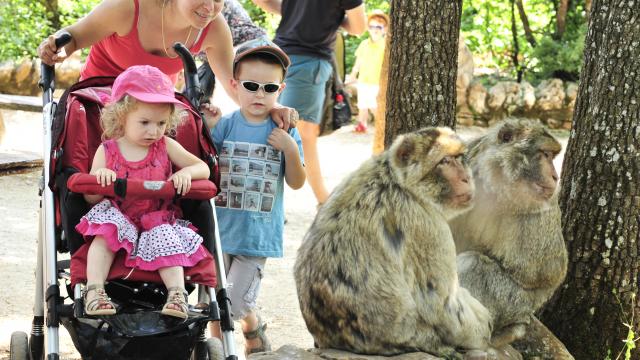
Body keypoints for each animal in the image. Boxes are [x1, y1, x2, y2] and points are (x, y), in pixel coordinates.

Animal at [292, 126, 492, 358]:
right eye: (444, 162)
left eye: (460, 158)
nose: (466, 178)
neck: (398, 181)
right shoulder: (428, 226)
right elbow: (442, 305)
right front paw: (484, 327)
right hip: (414, 336)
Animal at [450, 119, 568, 348]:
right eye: (545, 154)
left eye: (552, 156)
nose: (555, 176)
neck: (495, 182)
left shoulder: (540, 208)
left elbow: (546, 274)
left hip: (517, 307)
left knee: (474, 265)